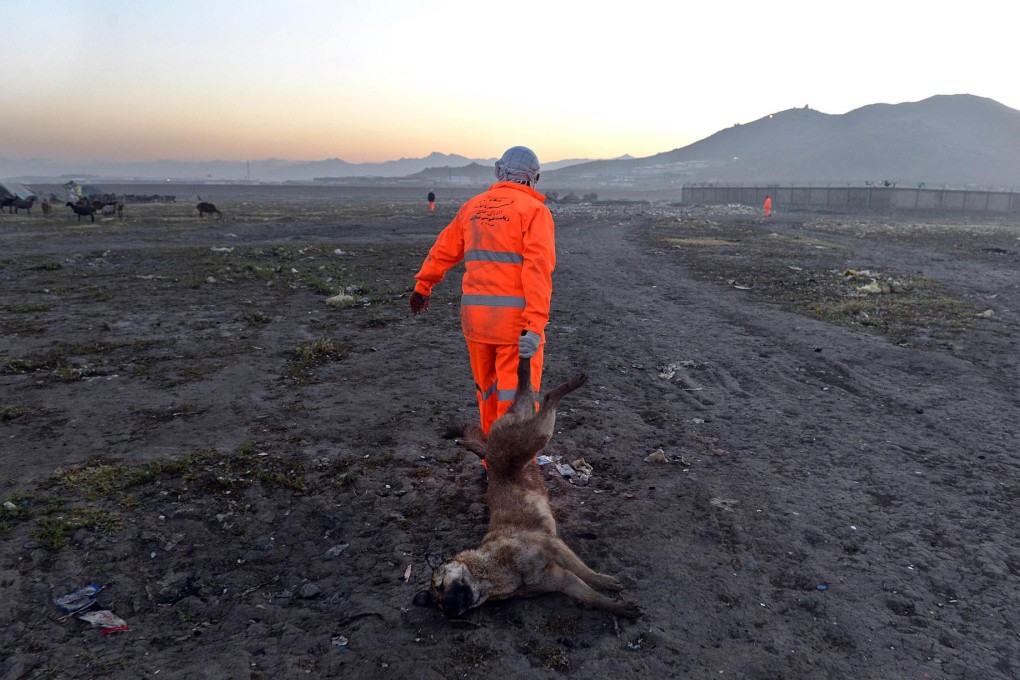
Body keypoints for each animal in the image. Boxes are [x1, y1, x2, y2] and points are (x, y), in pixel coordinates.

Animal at [412, 358, 636, 619]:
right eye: (438, 604)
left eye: (441, 586)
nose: (449, 609)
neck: (493, 575)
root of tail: (489, 452)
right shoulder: (562, 580)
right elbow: (591, 597)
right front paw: (619, 608)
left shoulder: (553, 546)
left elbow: (586, 573)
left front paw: (604, 581)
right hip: (527, 432)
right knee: (528, 398)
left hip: (533, 436)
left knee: (545, 397)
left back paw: (537, 366)